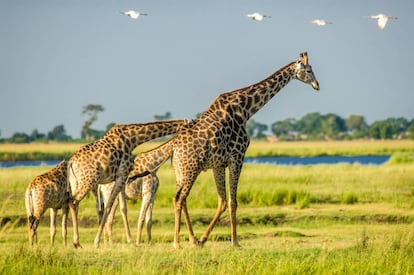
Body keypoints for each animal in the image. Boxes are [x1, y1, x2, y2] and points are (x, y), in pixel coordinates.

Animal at [66, 119, 188, 249]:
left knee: (76, 204)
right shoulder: (124, 176)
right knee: (74, 202)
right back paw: (77, 243)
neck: (132, 139)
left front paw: (138, 241)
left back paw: (79, 242)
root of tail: (71, 162)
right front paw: (129, 241)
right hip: (88, 181)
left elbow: (130, 212)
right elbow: (115, 208)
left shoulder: (128, 182)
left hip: (76, 183)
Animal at [144, 52, 318, 250]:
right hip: (191, 170)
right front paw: (235, 242)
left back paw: (193, 239)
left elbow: (222, 201)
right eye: (309, 70)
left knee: (180, 198)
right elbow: (233, 202)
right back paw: (176, 242)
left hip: (180, 171)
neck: (246, 109)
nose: (317, 85)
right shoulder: (238, 157)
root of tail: (173, 147)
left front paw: (203, 239)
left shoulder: (219, 164)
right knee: (180, 198)